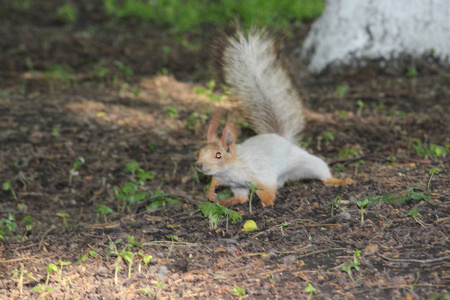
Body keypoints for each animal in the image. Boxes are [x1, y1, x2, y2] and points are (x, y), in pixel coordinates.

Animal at [196, 27, 356, 206]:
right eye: (200, 151)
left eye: (218, 155)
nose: (199, 165)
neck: (230, 169)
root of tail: (281, 138)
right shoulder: (229, 181)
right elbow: (215, 182)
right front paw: (211, 193)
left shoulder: (260, 174)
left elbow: (267, 190)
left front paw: (267, 203)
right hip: (238, 187)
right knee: (241, 197)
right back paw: (227, 201)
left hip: (306, 162)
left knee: (323, 172)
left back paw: (339, 180)